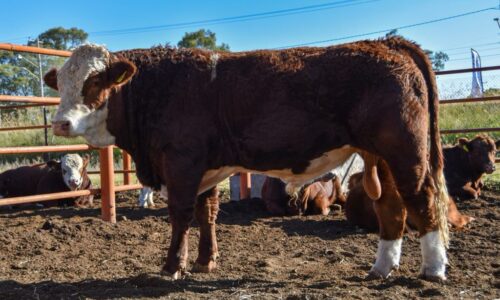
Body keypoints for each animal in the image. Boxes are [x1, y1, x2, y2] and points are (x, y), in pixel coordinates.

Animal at [46, 37, 450, 282]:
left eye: (94, 82)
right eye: (62, 83)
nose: (60, 122)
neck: (157, 87)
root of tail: (387, 43)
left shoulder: (182, 162)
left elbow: (180, 215)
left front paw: (172, 266)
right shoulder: (207, 168)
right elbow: (207, 213)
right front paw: (205, 261)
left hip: (405, 152)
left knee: (423, 199)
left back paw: (433, 269)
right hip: (380, 157)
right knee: (392, 208)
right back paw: (381, 268)